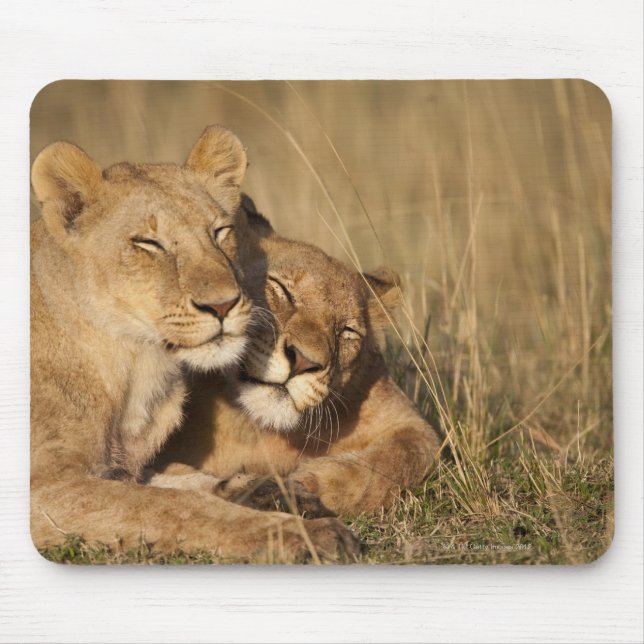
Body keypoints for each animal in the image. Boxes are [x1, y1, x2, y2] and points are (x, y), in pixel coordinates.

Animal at [31, 127, 360, 563]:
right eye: (148, 243)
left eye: (220, 233)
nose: (223, 304)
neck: (136, 366)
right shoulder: (44, 490)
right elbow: (176, 506)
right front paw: (303, 534)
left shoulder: (125, 467)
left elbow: (187, 480)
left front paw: (271, 492)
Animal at [153, 205, 443, 519]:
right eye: (282, 289)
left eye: (346, 331)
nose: (304, 361)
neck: (260, 429)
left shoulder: (409, 421)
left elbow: (401, 458)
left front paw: (310, 481)